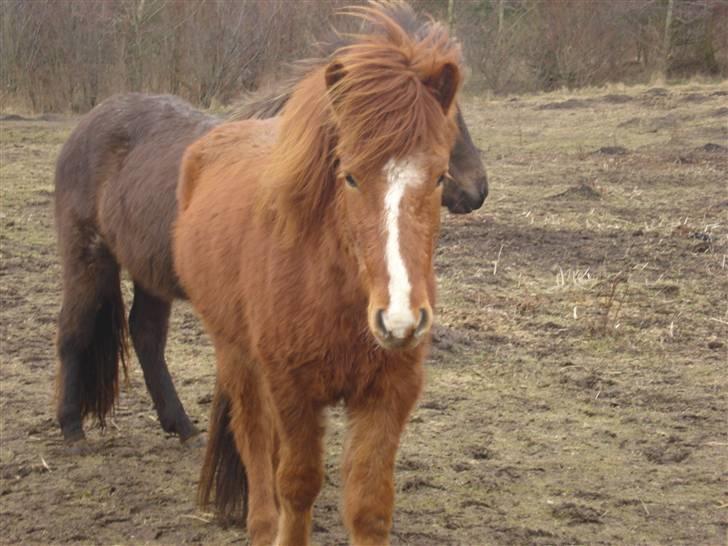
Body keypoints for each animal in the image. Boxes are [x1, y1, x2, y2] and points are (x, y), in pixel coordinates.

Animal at [54, 0, 486, 444]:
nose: (478, 189)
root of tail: (87, 124)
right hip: (88, 256)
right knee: (75, 327)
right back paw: (72, 428)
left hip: (149, 271)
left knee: (146, 335)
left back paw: (182, 426)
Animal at [173, 5, 460, 544]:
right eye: (348, 176)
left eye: (439, 177)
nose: (399, 320)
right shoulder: (293, 388)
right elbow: (298, 485)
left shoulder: (389, 392)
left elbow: (369, 506)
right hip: (236, 354)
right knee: (254, 439)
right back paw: (261, 526)